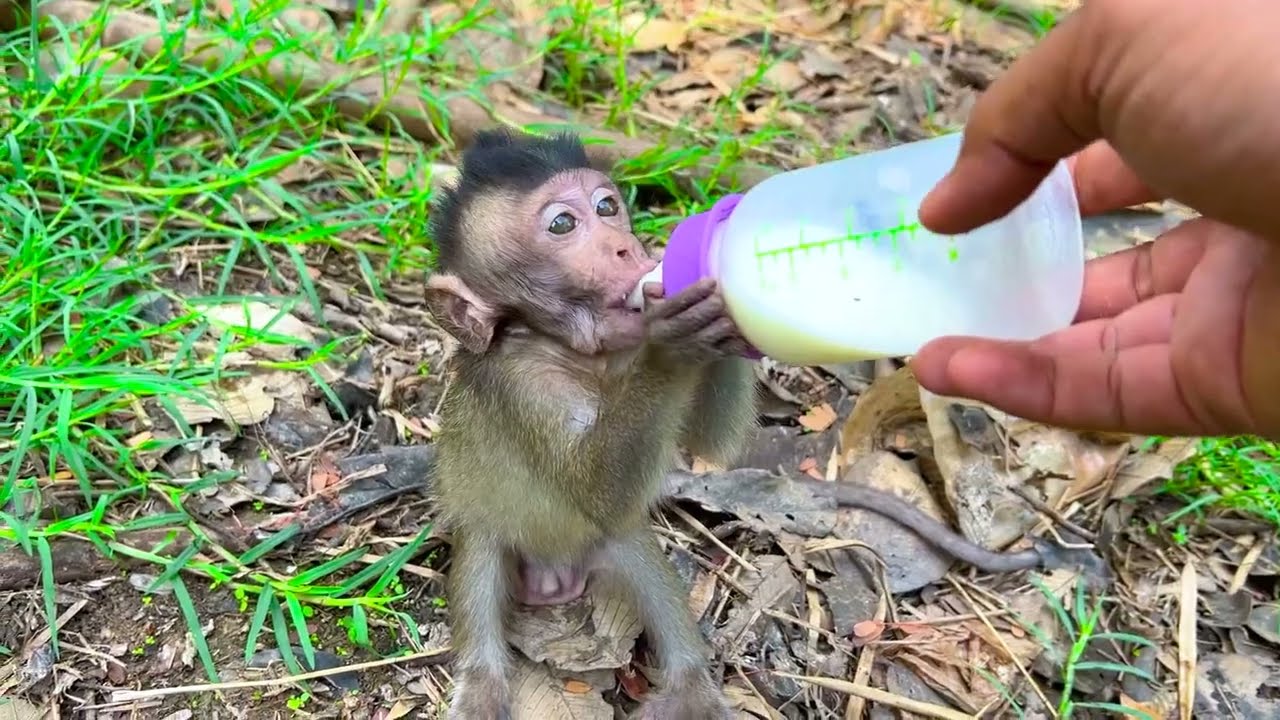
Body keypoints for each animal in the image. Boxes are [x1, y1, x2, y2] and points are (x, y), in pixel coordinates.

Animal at [424, 128, 759, 720]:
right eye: (563, 224)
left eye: (607, 207)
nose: (627, 248)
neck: (571, 350)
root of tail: (556, 580)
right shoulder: (523, 381)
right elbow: (595, 490)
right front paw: (676, 342)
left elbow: (707, 445)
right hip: (494, 536)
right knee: (482, 561)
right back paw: (483, 684)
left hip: (600, 551)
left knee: (631, 545)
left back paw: (689, 684)